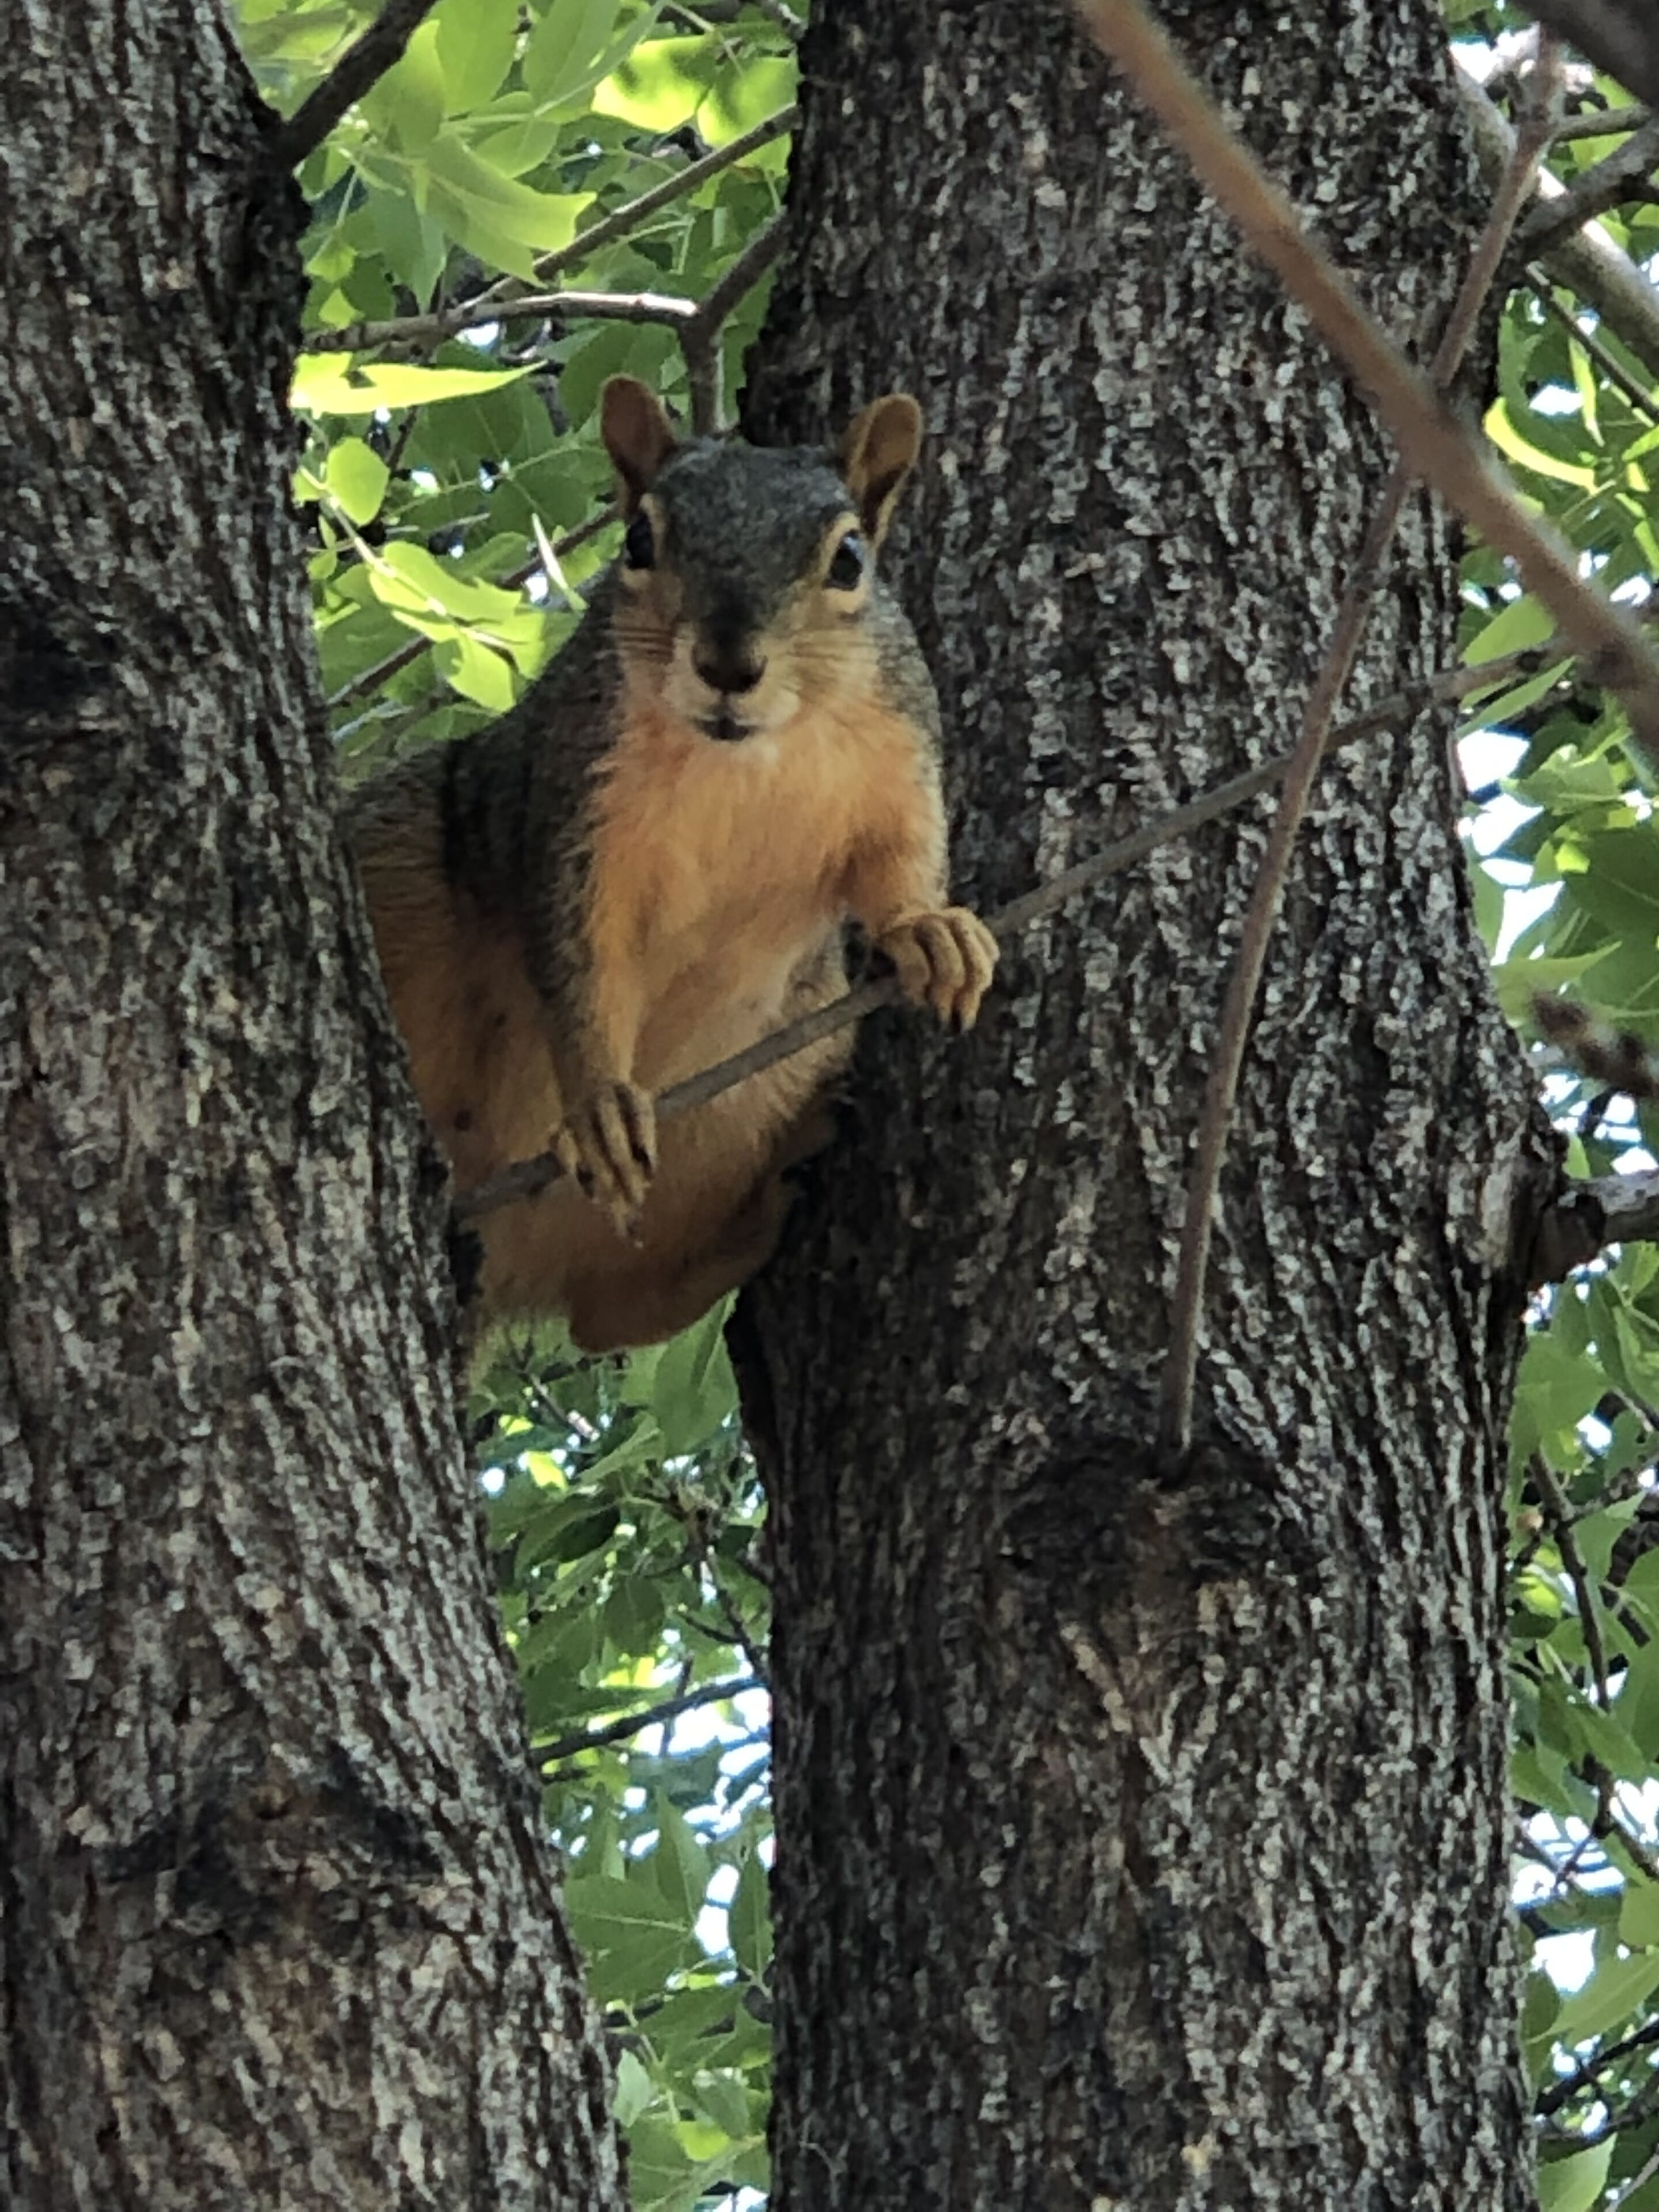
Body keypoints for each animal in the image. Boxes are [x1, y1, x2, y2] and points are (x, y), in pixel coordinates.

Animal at [346, 376, 997, 1355]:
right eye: (640, 543)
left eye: (850, 560)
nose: (727, 664)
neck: (745, 759)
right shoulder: (578, 811)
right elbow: (580, 963)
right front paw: (601, 1107)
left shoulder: (899, 757)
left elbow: (901, 862)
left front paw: (932, 933)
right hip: (398, 869)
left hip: (768, 1079)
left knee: (607, 1313)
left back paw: (769, 1198)